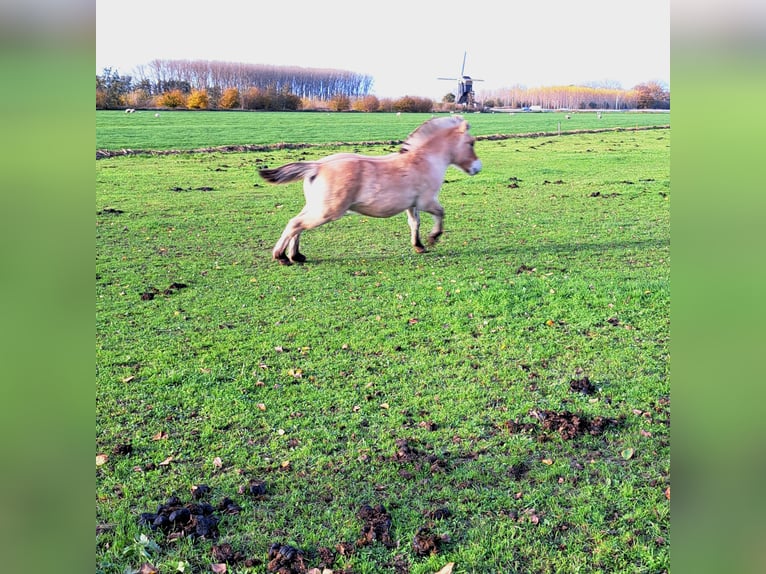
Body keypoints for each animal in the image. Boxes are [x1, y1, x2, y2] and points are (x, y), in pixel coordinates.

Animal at [258, 115, 482, 265]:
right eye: (471, 143)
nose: (477, 168)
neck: (424, 160)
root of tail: (317, 166)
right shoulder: (427, 201)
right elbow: (440, 213)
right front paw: (433, 237)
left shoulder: (412, 205)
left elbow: (414, 223)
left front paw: (418, 245)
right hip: (326, 211)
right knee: (295, 224)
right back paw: (281, 257)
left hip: (315, 207)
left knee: (297, 225)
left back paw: (296, 256)